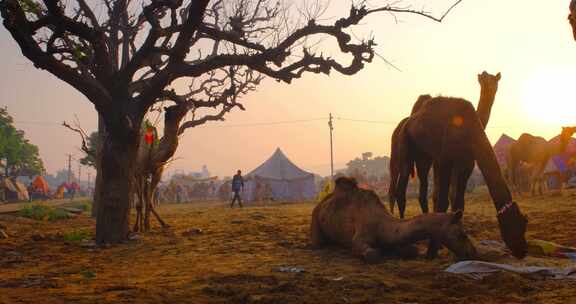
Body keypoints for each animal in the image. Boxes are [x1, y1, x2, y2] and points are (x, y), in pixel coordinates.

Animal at [310, 177, 476, 262]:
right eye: (463, 235)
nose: (473, 252)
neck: (382, 226)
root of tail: (323, 200)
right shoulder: (359, 237)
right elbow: (372, 254)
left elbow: (412, 250)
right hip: (315, 216)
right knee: (318, 241)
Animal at [390, 71, 502, 218]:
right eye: (484, 79)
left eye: (495, 80)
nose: (491, 87)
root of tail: (403, 125)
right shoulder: (443, 161)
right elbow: (443, 195)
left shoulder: (454, 162)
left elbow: (448, 195)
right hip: (402, 152)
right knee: (398, 187)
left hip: (422, 158)